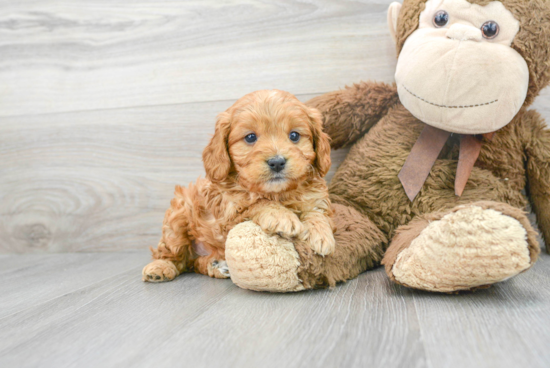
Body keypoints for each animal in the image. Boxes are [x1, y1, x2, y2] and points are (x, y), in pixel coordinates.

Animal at [142, 90, 336, 282]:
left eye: (294, 135)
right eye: (250, 137)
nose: (277, 162)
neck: (277, 193)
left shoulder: (316, 199)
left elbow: (316, 212)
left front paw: (320, 233)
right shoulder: (228, 215)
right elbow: (256, 203)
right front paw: (281, 216)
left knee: (196, 264)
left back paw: (216, 266)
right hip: (177, 218)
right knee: (174, 254)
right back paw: (160, 268)